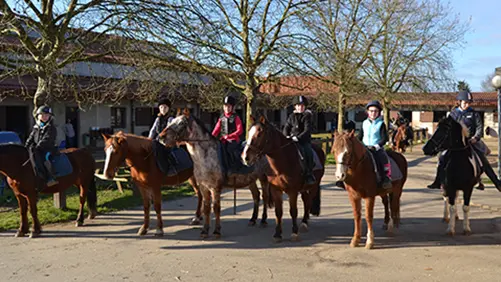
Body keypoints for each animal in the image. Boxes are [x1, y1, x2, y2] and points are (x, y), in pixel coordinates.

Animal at [159, 111, 270, 239]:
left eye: (181, 123)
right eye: (171, 121)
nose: (161, 137)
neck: (205, 157)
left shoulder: (215, 188)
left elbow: (216, 208)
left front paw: (217, 231)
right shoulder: (203, 187)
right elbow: (207, 208)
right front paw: (204, 231)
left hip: (263, 177)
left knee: (265, 196)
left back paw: (263, 220)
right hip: (250, 179)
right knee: (256, 196)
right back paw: (252, 219)